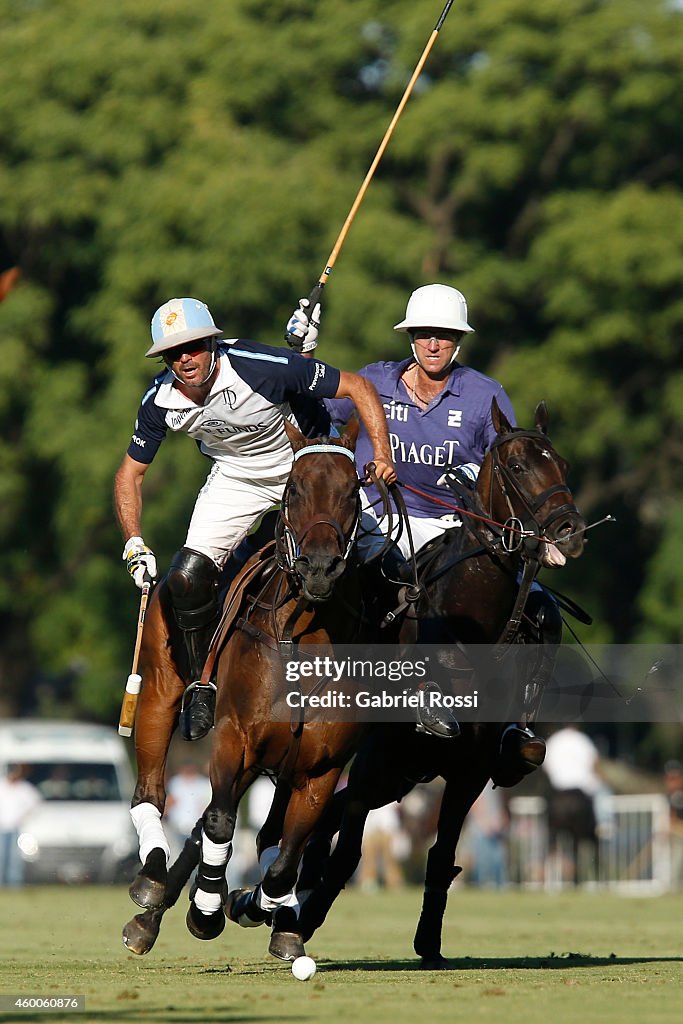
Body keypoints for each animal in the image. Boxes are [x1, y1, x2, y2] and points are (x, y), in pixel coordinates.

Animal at [122, 417, 368, 958]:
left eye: (354, 491)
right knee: (152, 784)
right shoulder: (234, 739)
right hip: (159, 686)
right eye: (293, 489)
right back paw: (150, 880)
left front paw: (257, 907)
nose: (320, 568)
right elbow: (219, 820)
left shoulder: (321, 767)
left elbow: (287, 854)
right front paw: (205, 911)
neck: (301, 636)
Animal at [294, 399, 589, 966]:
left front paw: (428, 942)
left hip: (406, 775)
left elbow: (441, 855)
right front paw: (298, 923)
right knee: (331, 820)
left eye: (563, 464)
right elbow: (348, 854)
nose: (569, 531)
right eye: (517, 466)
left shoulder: (470, 770)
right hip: (389, 769)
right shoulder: (374, 759)